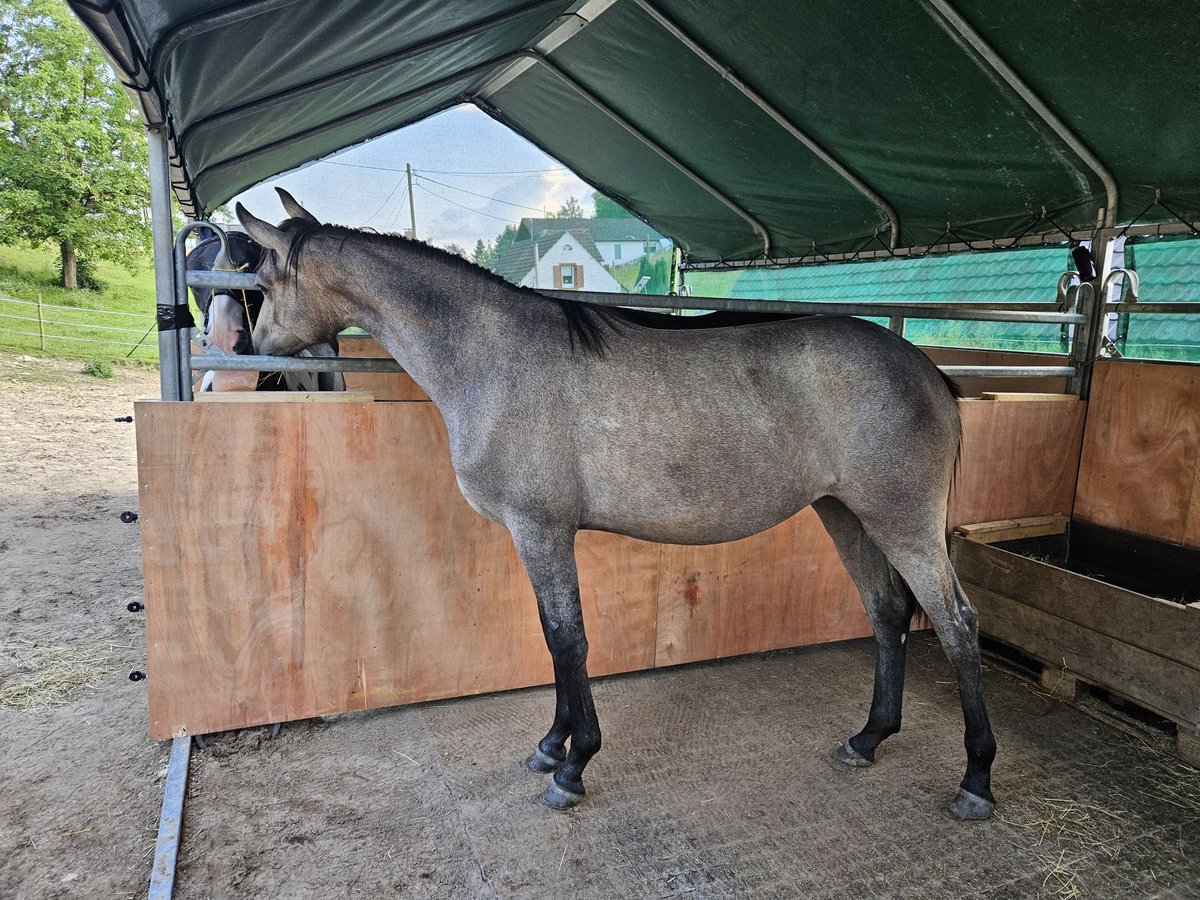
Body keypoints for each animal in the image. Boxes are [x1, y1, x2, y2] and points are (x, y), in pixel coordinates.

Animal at [234, 192, 993, 825]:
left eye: (262, 285)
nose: (255, 359)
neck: (494, 356)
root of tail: (926, 369)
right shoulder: (538, 535)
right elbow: (553, 639)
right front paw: (551, 744)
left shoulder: (541, 530)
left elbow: (567, 640)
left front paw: (572, 765)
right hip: (845, 514)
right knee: (887, 613)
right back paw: (868, 739)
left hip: (903, 523)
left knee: (956, 623)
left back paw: (976, 779)